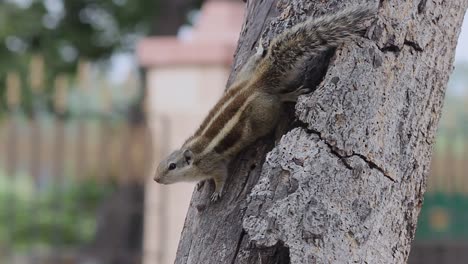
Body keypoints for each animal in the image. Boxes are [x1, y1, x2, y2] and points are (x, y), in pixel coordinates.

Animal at [155, 3, 378, 202]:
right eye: (160, 163)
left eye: (172, 166)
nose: (156, 179)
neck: (195, 156)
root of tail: (255, 84)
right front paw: (202, 183)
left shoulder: (215, 165)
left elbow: (221, 177)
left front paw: (216, 192)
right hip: (246, 73)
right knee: (258, 63)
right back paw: (260, 50)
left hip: (264, 116)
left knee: (278, 101)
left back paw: (290, 95)